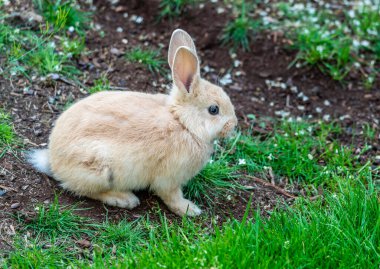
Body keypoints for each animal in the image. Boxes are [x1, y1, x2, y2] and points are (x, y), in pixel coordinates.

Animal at [26, 28, 236, 216]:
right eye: (214, 109)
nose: (233, 125)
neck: (183, 123)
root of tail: (53, 161)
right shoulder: (169, 179)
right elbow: (172, 196)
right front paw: (190, 209)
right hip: (100, 171)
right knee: (87, 191)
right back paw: (125, 199)